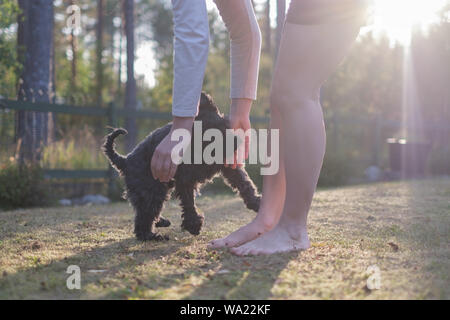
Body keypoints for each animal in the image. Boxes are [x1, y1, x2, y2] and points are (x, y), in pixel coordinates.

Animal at [102, 92, 260, 240]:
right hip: (151, 192)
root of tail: (125, 160)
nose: (236, 143)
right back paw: (153, 236)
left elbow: (245, 183)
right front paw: (194, 225)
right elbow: (189, 202)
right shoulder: (185, 180)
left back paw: (161, 222)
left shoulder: (228, 167)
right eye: (211, 136)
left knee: (148, 213)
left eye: (225, 125)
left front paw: (256, 202)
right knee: (143, 219)